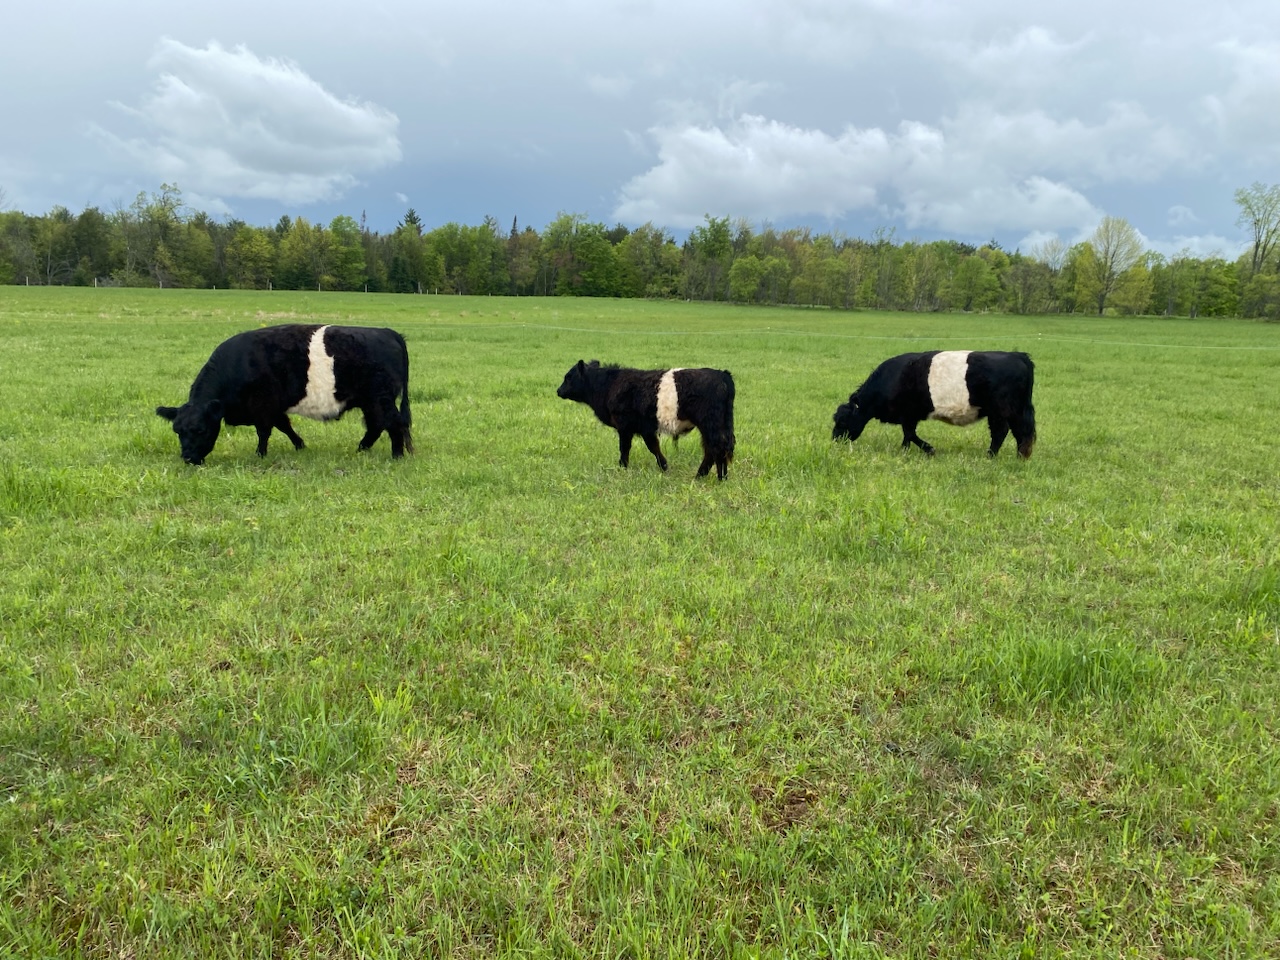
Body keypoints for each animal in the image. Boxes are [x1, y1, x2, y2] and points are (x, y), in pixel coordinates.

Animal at [156, 324, 413, 465]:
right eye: (177, 430)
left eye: (200, 430)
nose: (188, 458)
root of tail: (388, 332)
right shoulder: (274, 407)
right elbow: (285, 426)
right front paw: (300, 445)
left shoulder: (262, 406)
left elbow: (264, 432)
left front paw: (260, 454)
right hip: (371, 401)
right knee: (376, 425)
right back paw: (361, 449)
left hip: (380, 398)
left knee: (393, 424)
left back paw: (397, 455)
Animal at [556, 360, 736, 479]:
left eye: (569, 377)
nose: (558, 391)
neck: (610, 385)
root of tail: (722, 374)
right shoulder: (646, 429)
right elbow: (654, 447)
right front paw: (664, 467)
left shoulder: (625, 427)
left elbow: (626, 448)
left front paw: (623, 467)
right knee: (713, 449)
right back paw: (705, 476)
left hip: (710, 424)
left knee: (715, 448)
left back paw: (715, 477)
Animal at [832, 350, 1035, 458]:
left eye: (842, 421)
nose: (834, 439)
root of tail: (1017, 355)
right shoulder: (908, 416)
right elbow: (908, 435)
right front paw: (904, 451)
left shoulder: (908, 414)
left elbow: (910, 434)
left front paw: (929, 450)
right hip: (1016, 410)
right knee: (1021, 432)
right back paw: (1019, 456)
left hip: (999, 411)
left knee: (1000, 432)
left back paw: (990, 456)